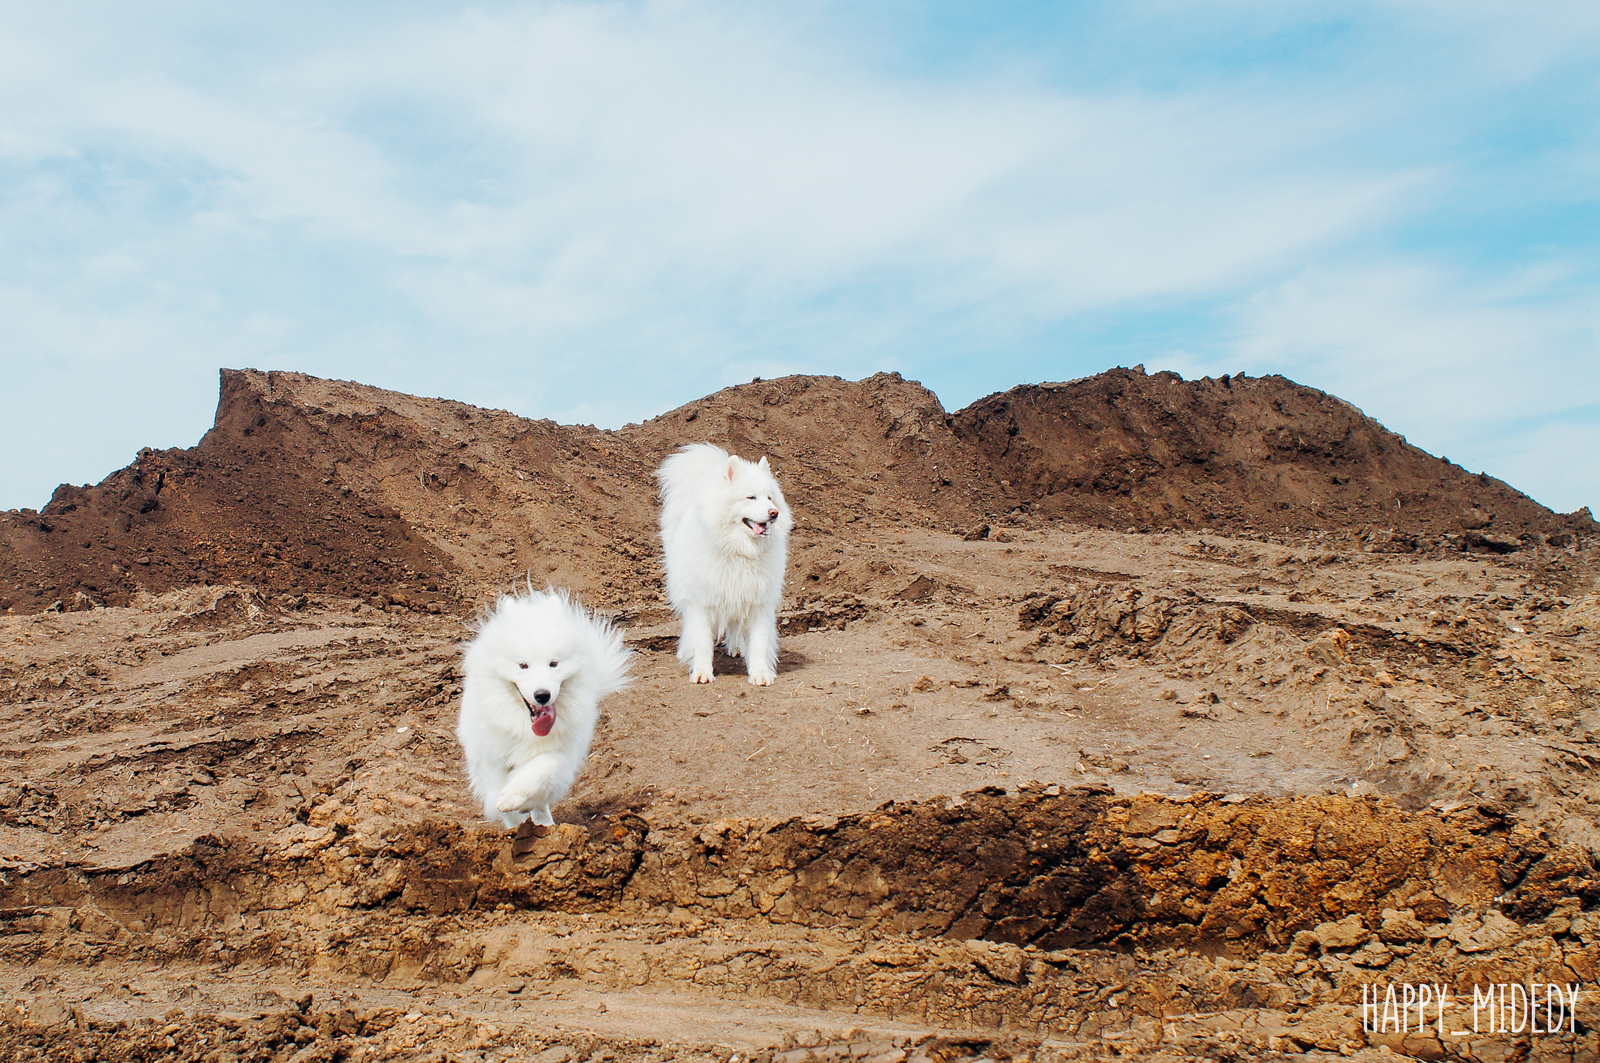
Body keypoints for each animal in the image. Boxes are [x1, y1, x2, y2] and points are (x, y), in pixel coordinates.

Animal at [457, 589, 630, 832]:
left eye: (554, 664)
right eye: (523, 665)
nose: (542, 695)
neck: (524, 724)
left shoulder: (561, 752)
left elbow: (540, 770)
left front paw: (513, 796)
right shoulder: (489, 757)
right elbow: (499, 793)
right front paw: (512, 822)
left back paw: (544, 824)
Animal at [656, 441, 793, 685]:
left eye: (769, 498)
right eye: (751, 498)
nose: (774, 513)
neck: (740, 552)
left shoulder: (758, 603)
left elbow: (759, 643)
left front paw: (760, 674)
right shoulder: (700, 603)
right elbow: (702, 642)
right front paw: (702, 672)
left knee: (735, 626)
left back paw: (737, 648)